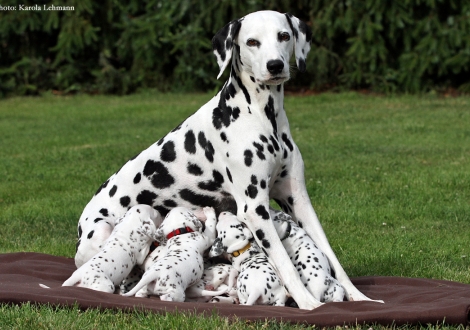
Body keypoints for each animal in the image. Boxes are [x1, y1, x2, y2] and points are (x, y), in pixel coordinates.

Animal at [75, 10, 380, 310]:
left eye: (283, 36)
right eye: (252, 41)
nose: (275, 65)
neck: (262, 116)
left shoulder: (299, 202)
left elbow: (332, 258)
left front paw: (360, 298)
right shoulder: (255, 208)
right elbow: (285, 265)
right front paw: (310, 304)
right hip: (101, 231)